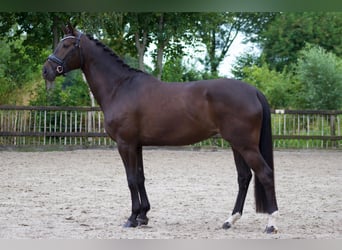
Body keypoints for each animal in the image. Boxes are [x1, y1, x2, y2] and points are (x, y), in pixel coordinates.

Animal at [42, 23, 278, 232]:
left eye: (66, 45)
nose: (46, 71)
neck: (120, 87)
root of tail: (253, 91)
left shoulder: (125, 144)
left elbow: (131, 180)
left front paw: (132, 219)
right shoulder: (137, 145)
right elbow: (140, 178)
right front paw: (143, 216)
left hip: (245, 145)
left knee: (265, 174)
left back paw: (271, 224)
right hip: (236, 145)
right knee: (244, 178)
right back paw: (230, 220)